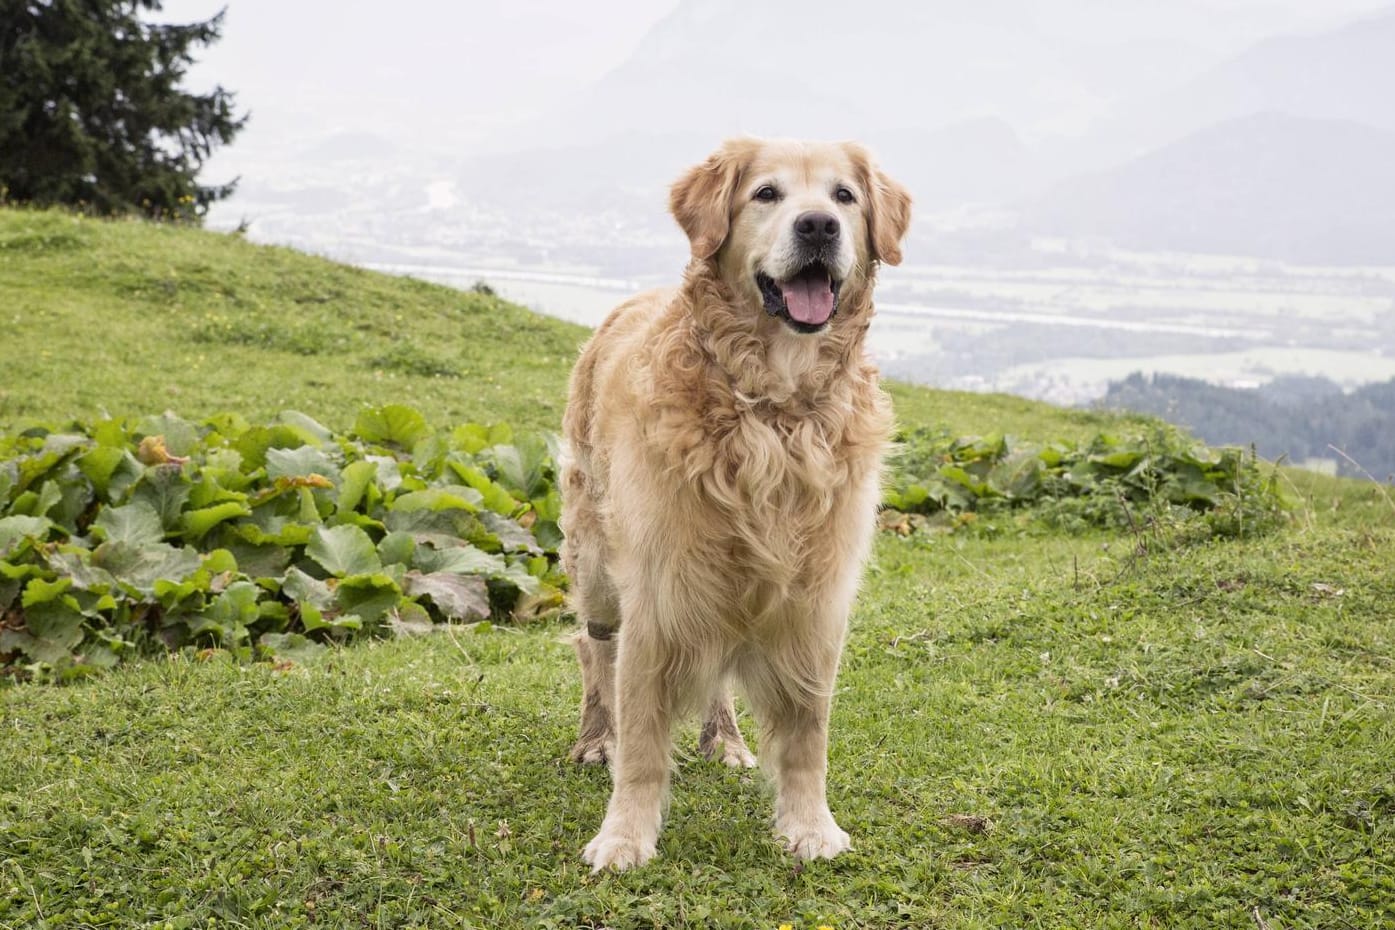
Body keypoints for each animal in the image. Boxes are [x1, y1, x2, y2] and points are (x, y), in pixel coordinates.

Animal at [560, 138, 909, 875]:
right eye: (766, 194)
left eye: (844, 197)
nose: (817, 227)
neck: (774, 409)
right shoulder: (656, 587)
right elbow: (642, 738)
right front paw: (625, 835)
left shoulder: (813, 600)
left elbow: (807, 734)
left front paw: (809, 826)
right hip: (598, 559)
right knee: (593, 648)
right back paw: (595, 738)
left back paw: (723, 740)